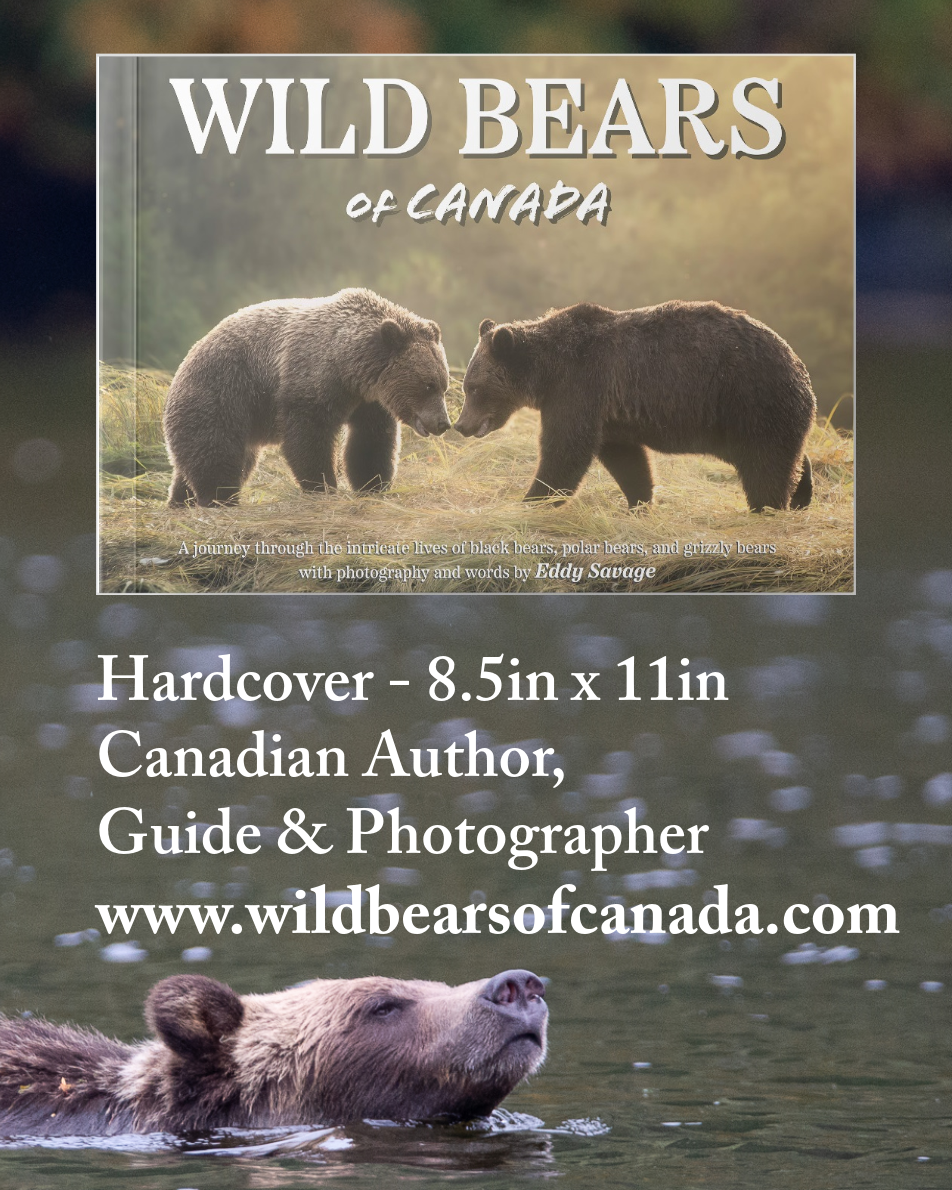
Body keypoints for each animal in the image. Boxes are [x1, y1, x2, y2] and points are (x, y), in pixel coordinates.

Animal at [162, 288, 452, 507]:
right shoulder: (309, 380)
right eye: (428, 385)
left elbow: (370, 442)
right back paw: (219, 497)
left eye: (443, 385)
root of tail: (184, 362)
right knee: (215, 451)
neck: (348, 366)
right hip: (221, 394)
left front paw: (374, 484)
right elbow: (308, 436)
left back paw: (181, 500)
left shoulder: (368, 402)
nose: (443, 423)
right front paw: (323, 485)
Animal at [455, 300, 817, 512]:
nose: (461, 424)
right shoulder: (610, 414)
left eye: (472, 387)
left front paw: (532, 499)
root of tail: (798, 364)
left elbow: (565, 449)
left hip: (748, 397)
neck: (547, 370)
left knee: (764, 464)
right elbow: (625, 459)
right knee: (781, 455)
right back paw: (802, 492)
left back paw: (767, 507)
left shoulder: (579, 386)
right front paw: (639, 501)